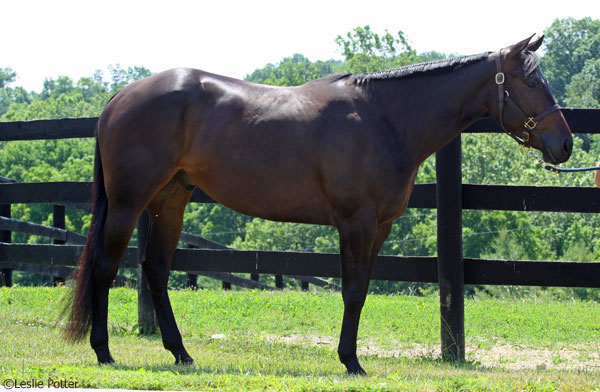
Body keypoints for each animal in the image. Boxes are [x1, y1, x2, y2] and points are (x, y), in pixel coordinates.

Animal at [63, 36, 576, 374]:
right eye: (531, 81)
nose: (566, 145)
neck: (385, 119)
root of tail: (119, 98)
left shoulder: (380, 227)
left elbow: (362, 288)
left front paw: (351, 358)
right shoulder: (356, 223)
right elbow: (352, 291)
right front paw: (351, 361)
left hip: (171, 199)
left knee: (155, 269)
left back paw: (181, 353)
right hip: (129, 202)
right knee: (107, 267)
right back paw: (103, 351)